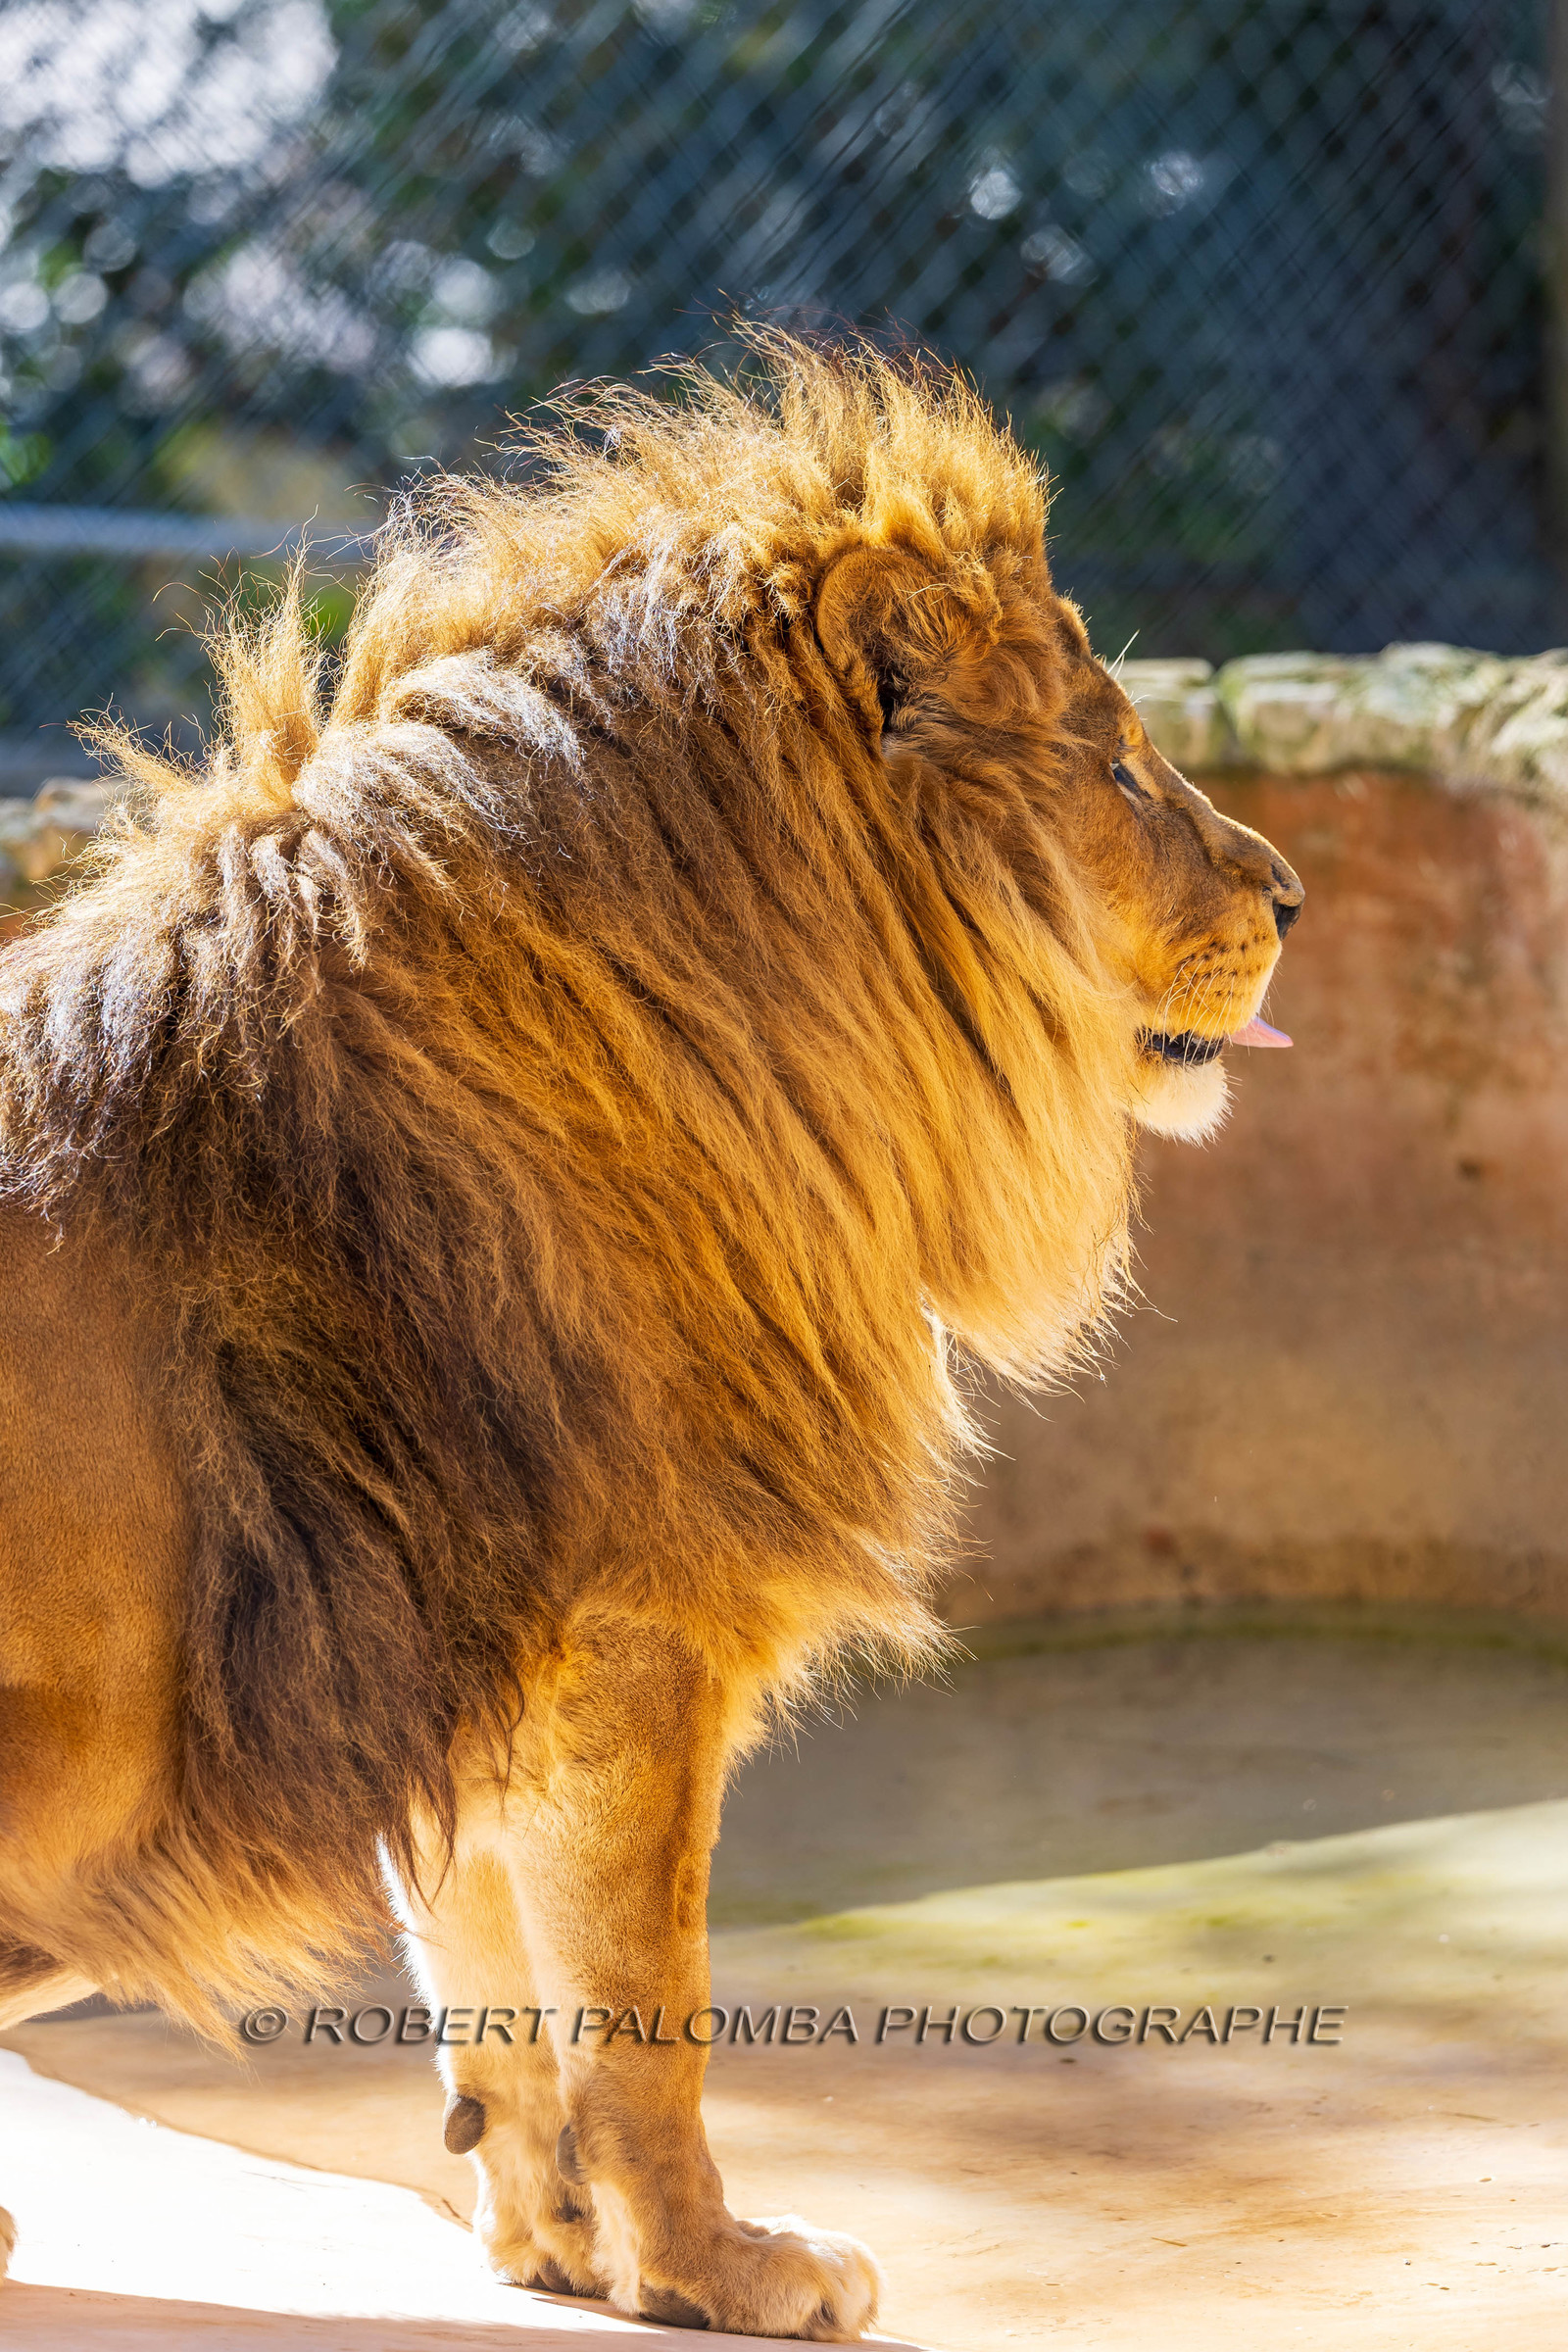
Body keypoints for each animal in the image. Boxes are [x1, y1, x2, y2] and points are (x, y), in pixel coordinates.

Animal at [0, 338, 1301, 2334]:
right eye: (1114, 764)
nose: (1298, 899)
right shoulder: (635, 1622)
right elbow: (649, 2011)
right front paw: (723, 2268)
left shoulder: (474, 1654)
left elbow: (492, 1983)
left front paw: (547, 2239)